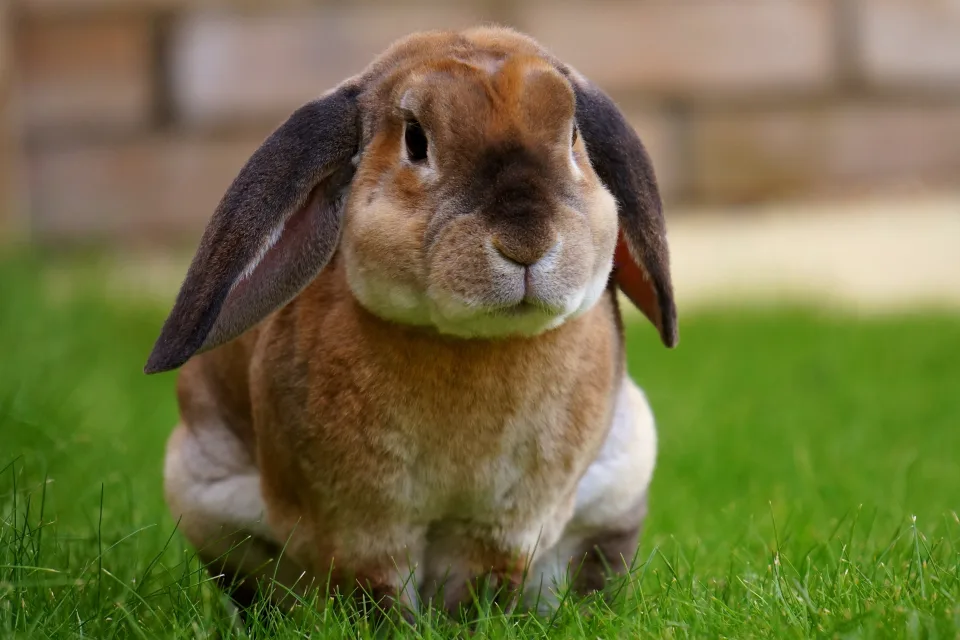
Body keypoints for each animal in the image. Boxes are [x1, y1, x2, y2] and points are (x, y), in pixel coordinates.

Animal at [147, 25, 677, 620]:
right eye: (416, 141)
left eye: (572, 139)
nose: (526, 242)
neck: (470, 344)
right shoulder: (361, 526)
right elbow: (375, 591)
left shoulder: (504, 527)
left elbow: (482, 586)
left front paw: (472, 624)